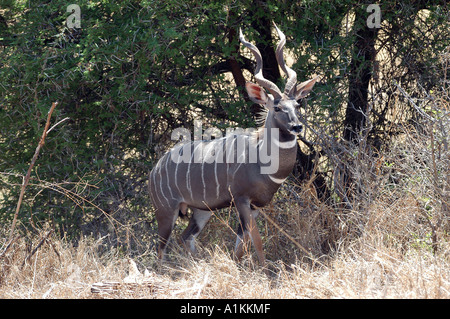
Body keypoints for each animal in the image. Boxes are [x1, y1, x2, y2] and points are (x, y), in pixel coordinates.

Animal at [149, 23, 318, 266]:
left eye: (297, 104)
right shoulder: (241, 200)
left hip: (202, 210)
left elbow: (242, 244)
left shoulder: (256, 206)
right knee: (161, 249)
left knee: (185, 237)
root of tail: (155, 169)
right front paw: (264, 271)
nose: (296, 126)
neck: (262, 158)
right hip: (165, 211)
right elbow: (256, 242)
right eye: (277, 107)